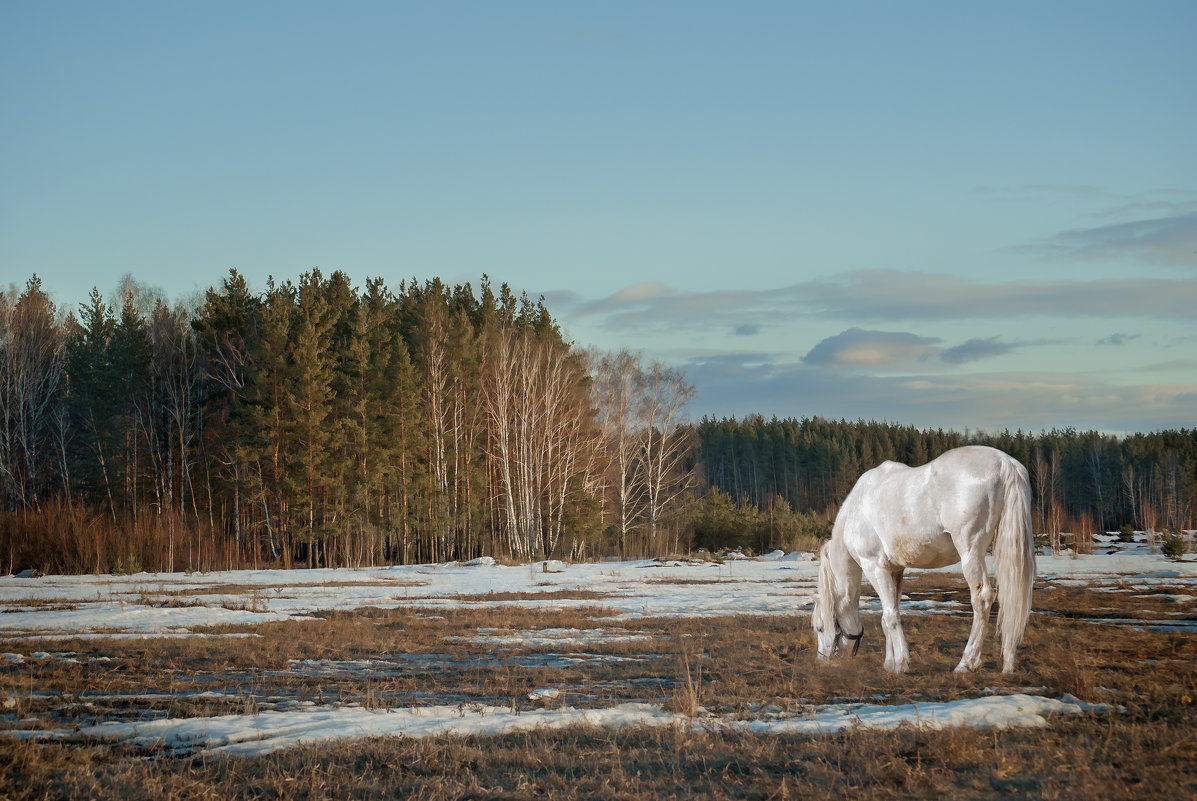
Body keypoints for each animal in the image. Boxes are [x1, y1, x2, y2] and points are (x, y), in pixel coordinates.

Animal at [813, 447, 1038, 670]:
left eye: (820, 627)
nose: (823, 659)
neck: (856, 509)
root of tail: (1004, 462)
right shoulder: (895, 570)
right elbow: (890, 614)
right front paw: (890, 663)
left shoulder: (874, 566)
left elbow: (890, 615)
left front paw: (902, 663)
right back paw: (1008, 663)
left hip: (971, 552)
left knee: (982, 600)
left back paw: (966, 663)